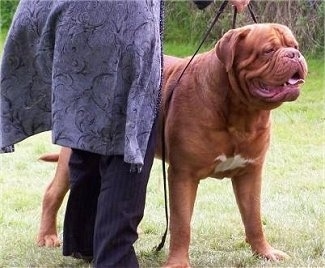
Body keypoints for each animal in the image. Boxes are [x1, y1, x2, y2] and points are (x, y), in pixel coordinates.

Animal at [36, 23, 306, 266]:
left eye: (294, 46)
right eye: (268, 50)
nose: (294, 55)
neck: (241, 114)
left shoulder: (250, 173)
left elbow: (254, 218)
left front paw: (265, 253)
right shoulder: (183, 175)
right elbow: (181, 223)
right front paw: (178, 262)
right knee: (52, 192)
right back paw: (47, 237)